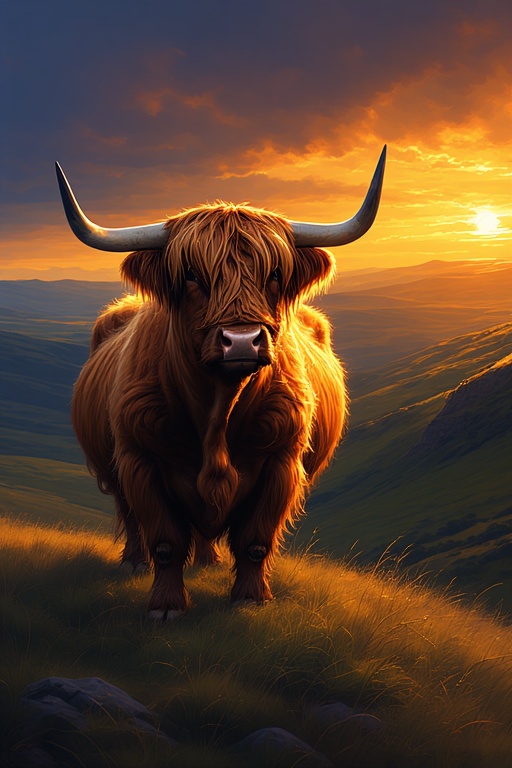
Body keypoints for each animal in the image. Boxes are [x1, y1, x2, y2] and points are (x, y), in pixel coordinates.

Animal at [56, 147, 386, 620]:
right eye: (192, 275)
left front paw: (251, 598)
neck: (218, 412)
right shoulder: (140, 460)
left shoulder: (281, 462)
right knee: (132, 518)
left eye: (274, 275)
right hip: (113, 467)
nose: (242, 340)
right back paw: (135, 563)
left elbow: (254, 540)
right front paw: (166, 607)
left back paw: (208, 562)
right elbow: (165, 540)